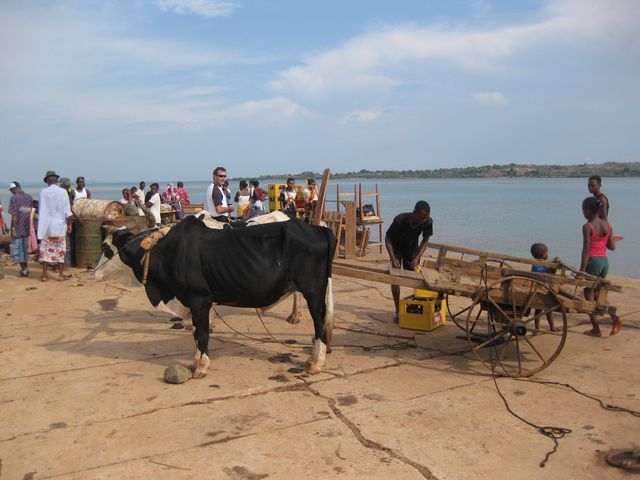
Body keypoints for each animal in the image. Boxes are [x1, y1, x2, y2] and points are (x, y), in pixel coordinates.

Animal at [97, 215, 338, 378]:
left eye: (106, 247)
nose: (95, 273)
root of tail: (318, 228)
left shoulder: (199, 298)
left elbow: (202, 334)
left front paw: (201, 367)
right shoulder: (193, 302)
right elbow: (195, 332)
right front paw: (194, 363)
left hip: (313, 292)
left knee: (319, 324)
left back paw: (316, 363)